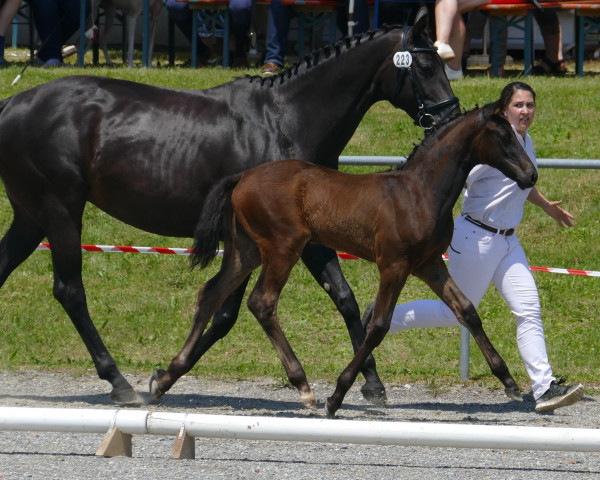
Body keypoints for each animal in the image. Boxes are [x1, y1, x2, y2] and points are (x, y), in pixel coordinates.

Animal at [0, 8, 458, 404]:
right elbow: (229, 312)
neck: (286, 120)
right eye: (425, 66)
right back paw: (118, 381)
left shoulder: (303, 237)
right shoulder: (279, 239)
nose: (451, 117)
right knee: (70, 290)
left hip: (30, 216)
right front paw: (163, 376)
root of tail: (13, 104)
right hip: (60, 211)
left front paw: (372, 384)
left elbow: (341, 297)